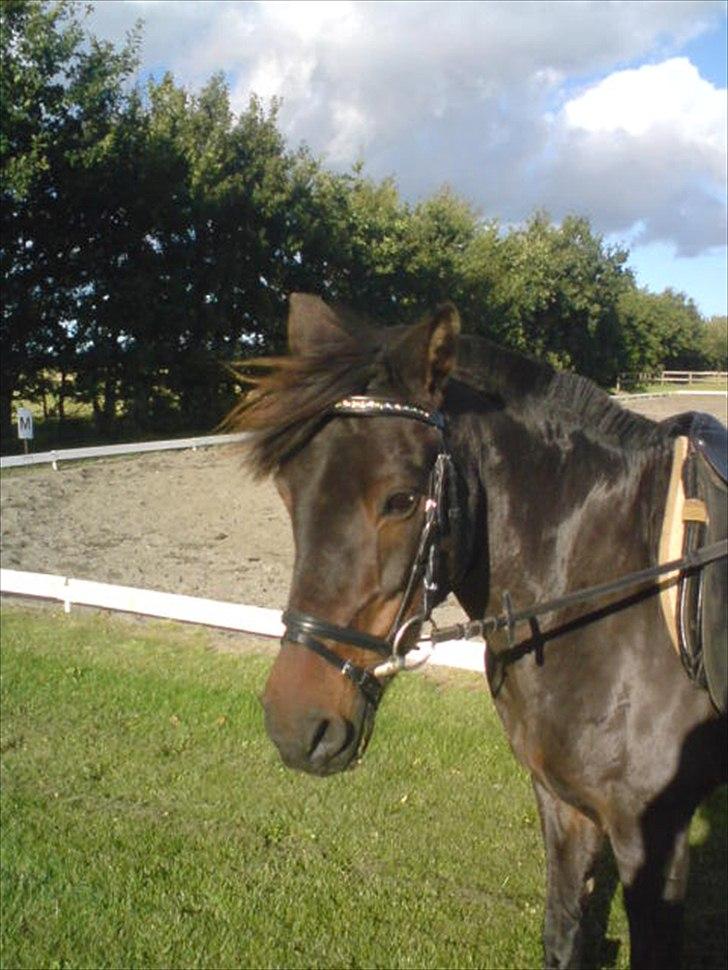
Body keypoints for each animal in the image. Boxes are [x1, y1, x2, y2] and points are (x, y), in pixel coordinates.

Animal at [230, 292, 724, 964]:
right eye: (288, 492)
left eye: (401, 500)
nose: (296, 727)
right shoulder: (562, 800)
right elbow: (563, 934)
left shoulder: (655, 834)